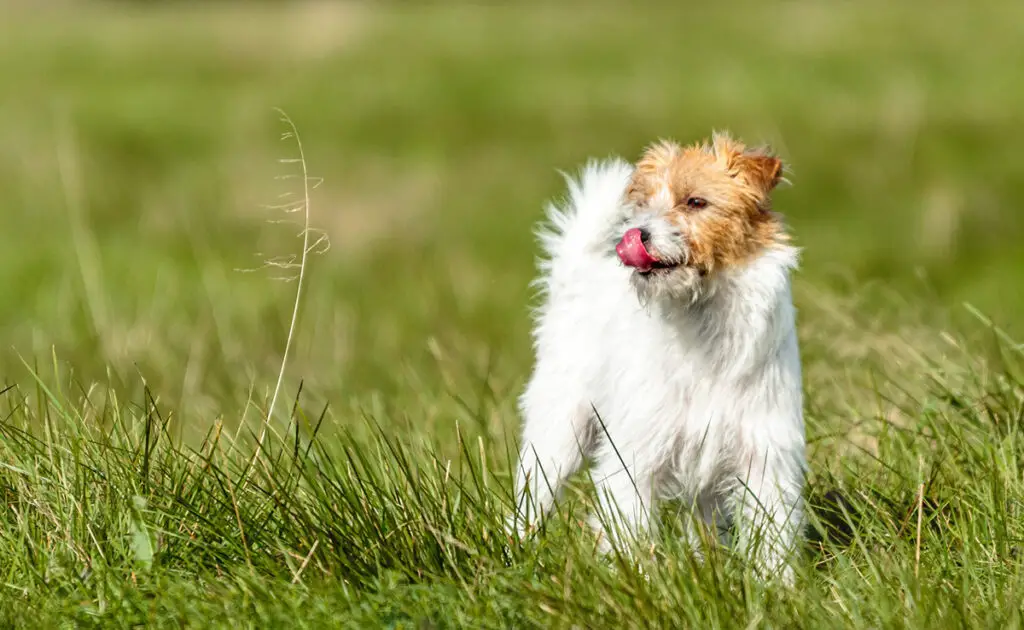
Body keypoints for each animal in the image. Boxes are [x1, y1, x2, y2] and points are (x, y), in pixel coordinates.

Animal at [507, 132, 802, 581]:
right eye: (644, 205)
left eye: (695, 202)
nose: (636, 233)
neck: (704, 324)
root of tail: (576, 283)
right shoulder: (635, 454)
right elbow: (627, 528)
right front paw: (635, 582)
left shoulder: (765, 456)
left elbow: (773, 534)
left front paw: (775, 586)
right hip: (557, 436)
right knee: (530, 499)